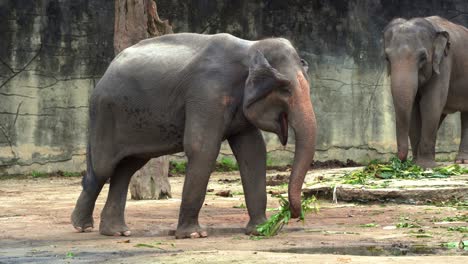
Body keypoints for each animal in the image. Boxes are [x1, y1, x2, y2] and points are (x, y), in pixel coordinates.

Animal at [70, 32, 318, 238]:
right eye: (285, 90)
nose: (292, 213)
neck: (250, 47)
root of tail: (106, 71)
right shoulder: (206, 93)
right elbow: (202, 148)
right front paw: (193, 235)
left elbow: (254, 151)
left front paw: (261, 230)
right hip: (105, 114)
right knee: (102, 169)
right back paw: (82, 226)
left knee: (127, 168)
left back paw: (117, 232)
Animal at [384, 16, 468, 168]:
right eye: (387, 58)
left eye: (423, 57)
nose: (399, 160)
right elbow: (415, 108)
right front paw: (416, 163)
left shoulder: (444, 62)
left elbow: (430, 103)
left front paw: (425, 165)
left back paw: (462, 161)